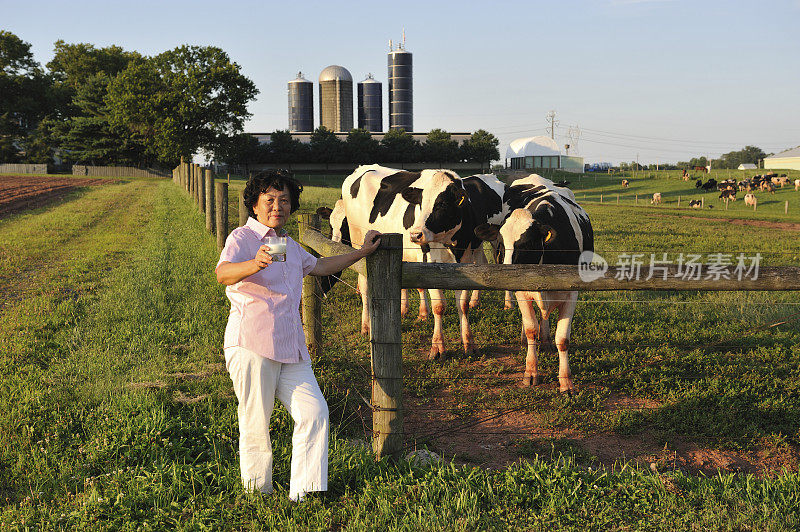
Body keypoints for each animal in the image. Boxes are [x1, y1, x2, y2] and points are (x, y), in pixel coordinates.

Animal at [472, 176, 592, 394]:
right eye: (500, 244)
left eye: (527, 244)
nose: (506, 275)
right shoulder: (522, 290)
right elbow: (530, 329)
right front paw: (531, 372)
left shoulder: (572, 292)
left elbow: (563, 339)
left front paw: (566, 382)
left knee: (544, 317)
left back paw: (546, 341)